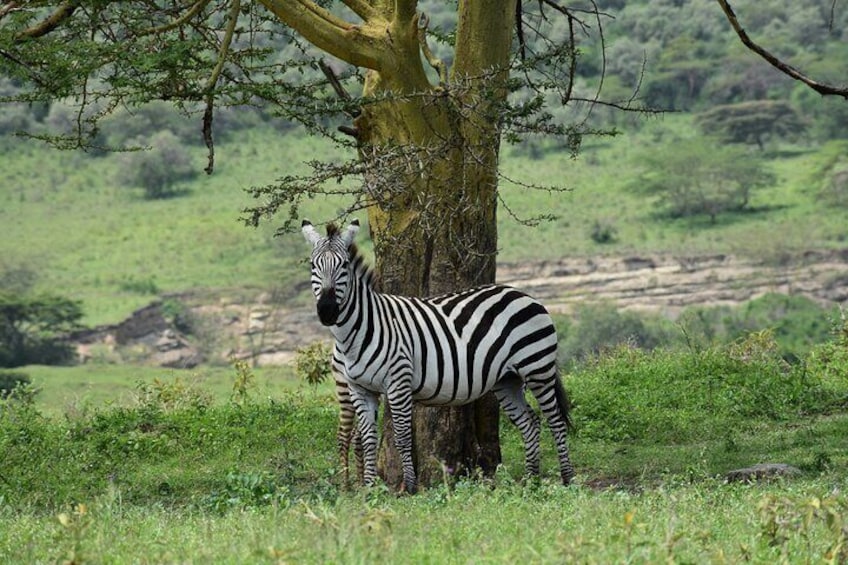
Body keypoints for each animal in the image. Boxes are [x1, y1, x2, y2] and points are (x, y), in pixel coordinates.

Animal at [302, 219, 575, 493]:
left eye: (344, 266)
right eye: (313, 266)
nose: (327, 311)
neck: (359, 332)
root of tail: (521, 294)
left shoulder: (398, 382)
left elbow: (402, 437)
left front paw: (409, 487)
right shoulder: (360, 389)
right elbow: (368, 440)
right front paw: (369, 488)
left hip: (537, 367)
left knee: (556, 421)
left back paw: (567, 478)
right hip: (507, 379)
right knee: (531, 423)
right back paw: (531, 480)